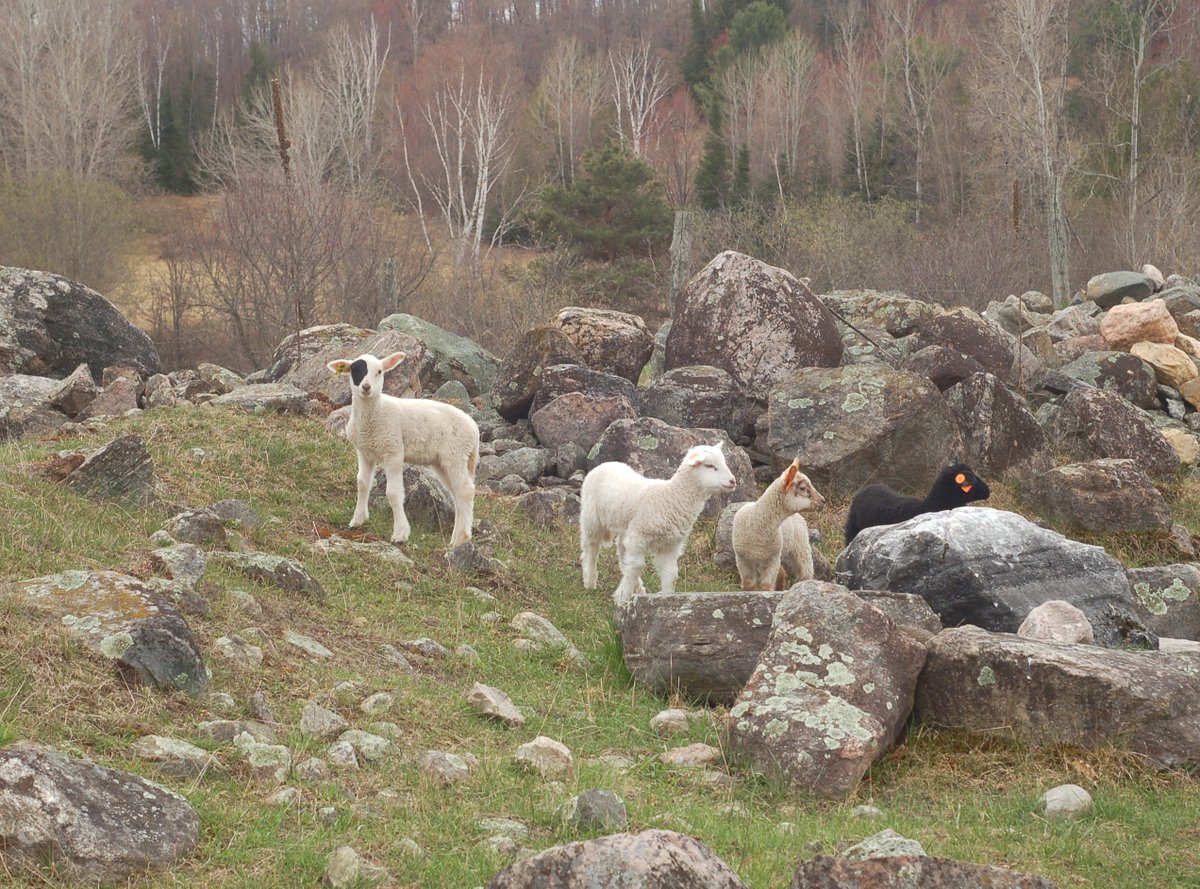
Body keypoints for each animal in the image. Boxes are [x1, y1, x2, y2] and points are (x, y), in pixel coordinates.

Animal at [327, 351, 480, 546]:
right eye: (355, 369)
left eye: (379, 371)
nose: (366, 387)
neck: (376, 413)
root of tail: (474, 429)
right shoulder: (365, 452)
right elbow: (362, 483)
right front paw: (357, 520)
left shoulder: (393, 451)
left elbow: (393, 493)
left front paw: (400, 534)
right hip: (443, 462)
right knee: (457, 494)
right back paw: (454, 540)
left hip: (456, 455)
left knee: (465, 492)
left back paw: (462, 538)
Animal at [580, 441, 738, 606]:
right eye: (709, 465)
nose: (733, 481)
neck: (670, 496)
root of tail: (606, 464)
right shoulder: (639, 536)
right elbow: (637, 566)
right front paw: (623, 599)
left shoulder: (670, 545)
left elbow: (670, 574)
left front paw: (666, 600)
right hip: (591, 519)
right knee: (591, 548)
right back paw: (590, 581)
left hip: (626, 527)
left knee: (622, 552)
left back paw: (638, 589)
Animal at [732, 458, 825, 591]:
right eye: (802, 488)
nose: (823, 501)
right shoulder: (742, 560)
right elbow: (748, 586)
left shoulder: (772, 560)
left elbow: (766, 587)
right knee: (782, 572)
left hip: (801, 547)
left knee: (805, 572)